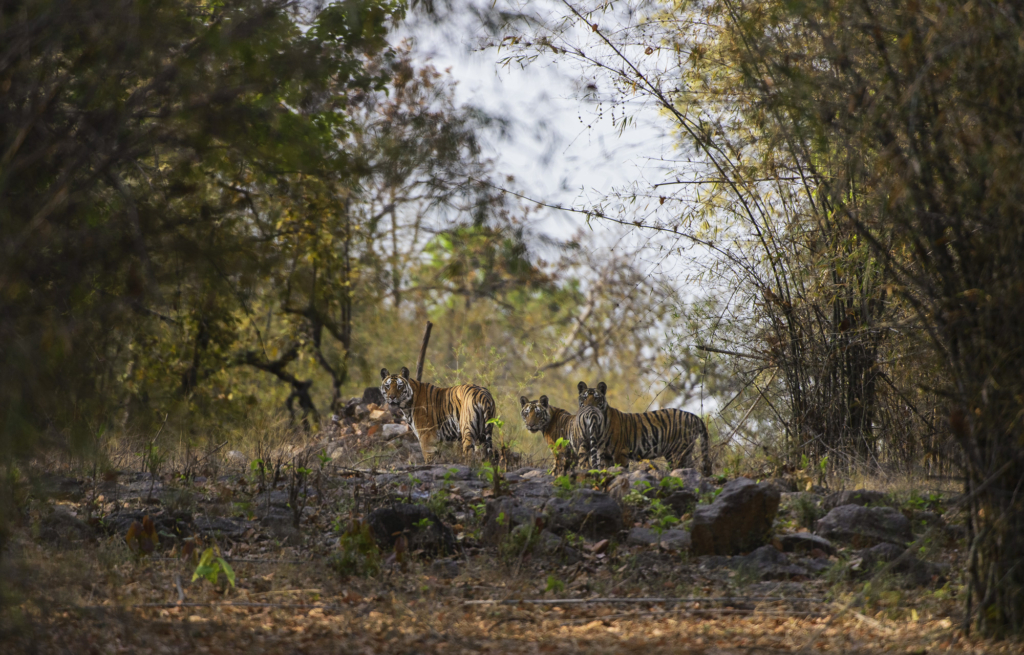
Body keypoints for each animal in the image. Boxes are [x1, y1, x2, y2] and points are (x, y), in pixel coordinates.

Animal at [577, 378, 712, 474]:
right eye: (584, 397)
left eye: (596, 397)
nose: (589, 406)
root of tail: (693, 416)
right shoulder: (604, 455)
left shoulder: (620, 452)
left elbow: (622, 470)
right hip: (685, 451)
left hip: (677, 451)